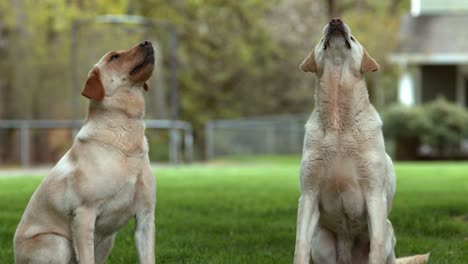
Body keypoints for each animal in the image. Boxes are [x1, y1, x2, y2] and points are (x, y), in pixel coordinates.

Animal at [13, 41, 156, 264]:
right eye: (114, 57)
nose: (147, 42)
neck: (126, 133)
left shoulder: (146, 217)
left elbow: (149, 257)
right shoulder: (84, 214)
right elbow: (86, 258)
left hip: (107, 240)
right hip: (58, 243)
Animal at [294, 19, 430, 264]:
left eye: (353, 38)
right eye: (321, 38)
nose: (335, 21)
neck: (339, 122)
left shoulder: (374, 196)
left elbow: (375, 245)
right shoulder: (308, 195)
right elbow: (300, 244)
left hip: (389, 231)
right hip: (321, 241)